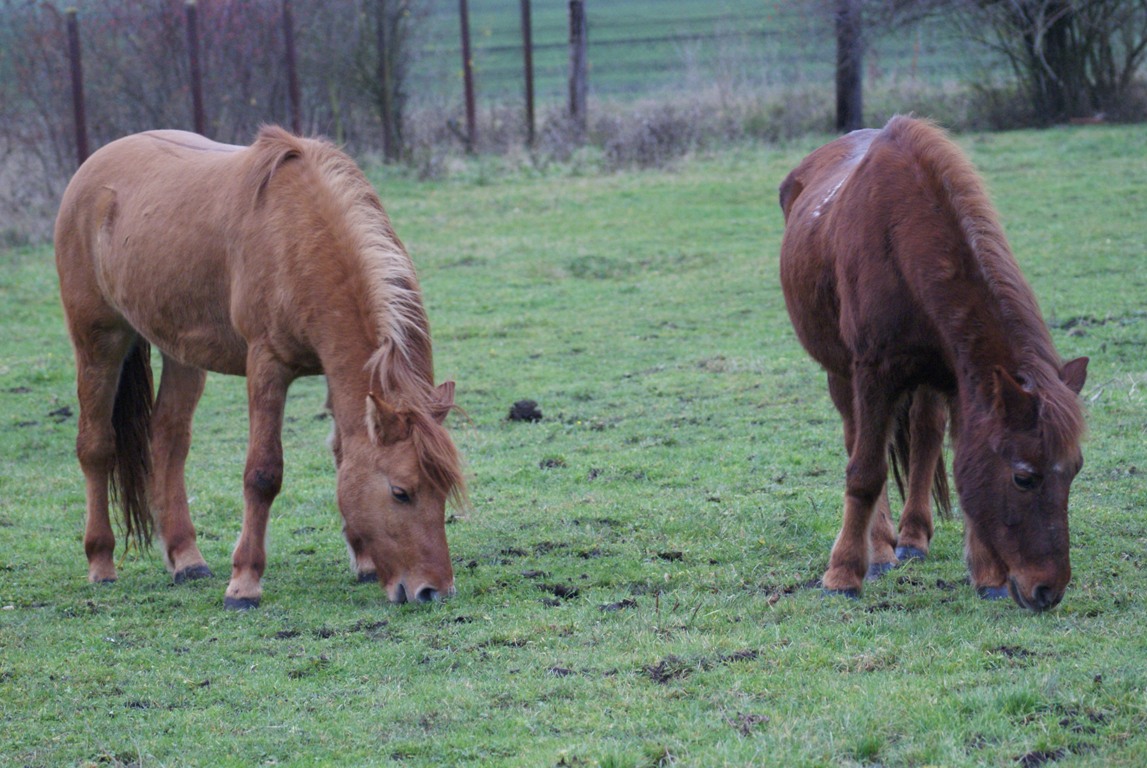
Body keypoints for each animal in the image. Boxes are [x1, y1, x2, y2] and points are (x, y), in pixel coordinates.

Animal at [52, 126, 465, 609]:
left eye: (443, 490)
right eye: (401, 492)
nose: (434, 591)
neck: (300, 233)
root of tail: (92, 168)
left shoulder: (334, 370)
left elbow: (343, 455)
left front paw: (363, 563)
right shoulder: (267, 364)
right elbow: (263, 474)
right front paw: (244, 583)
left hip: (181, 351)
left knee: (168, 441)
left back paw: (186, 559)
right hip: (99, 340)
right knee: (95, 446)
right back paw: (101, 563)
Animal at [775, 115, 1087, 614]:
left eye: (1074, 469)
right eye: (1024, 478)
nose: (1048, 591)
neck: (903, 236)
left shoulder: (963, 381)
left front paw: (988, 575)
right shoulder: (873, 373)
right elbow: (865, 472)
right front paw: (843, 574)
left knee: (923, 436)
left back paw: (912, 538)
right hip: (842, 373)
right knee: (858, 440)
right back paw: (881, 548)